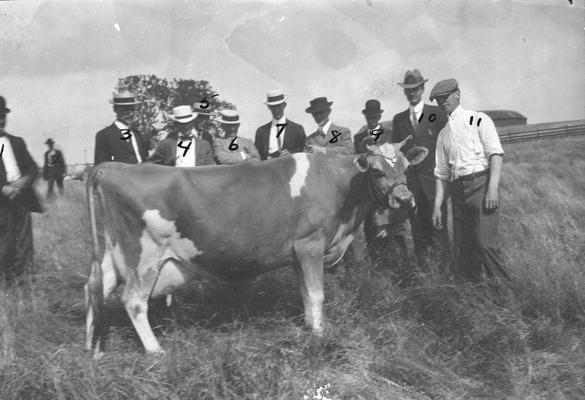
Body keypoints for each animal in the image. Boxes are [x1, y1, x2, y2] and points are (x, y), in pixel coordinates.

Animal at [85, 138, 424, 356]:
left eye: (406, 167)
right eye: (378, 171)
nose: (405, 199)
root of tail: (112, 168)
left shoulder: (297, 253)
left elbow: (305, 293)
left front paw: (308, 327)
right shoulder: (310, 244)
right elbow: (316, 294)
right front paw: (319, 337)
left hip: (117, 253)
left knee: (95, 286)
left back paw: (93, 347)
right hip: (143, 256)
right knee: (133, 301)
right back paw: (155, 351)